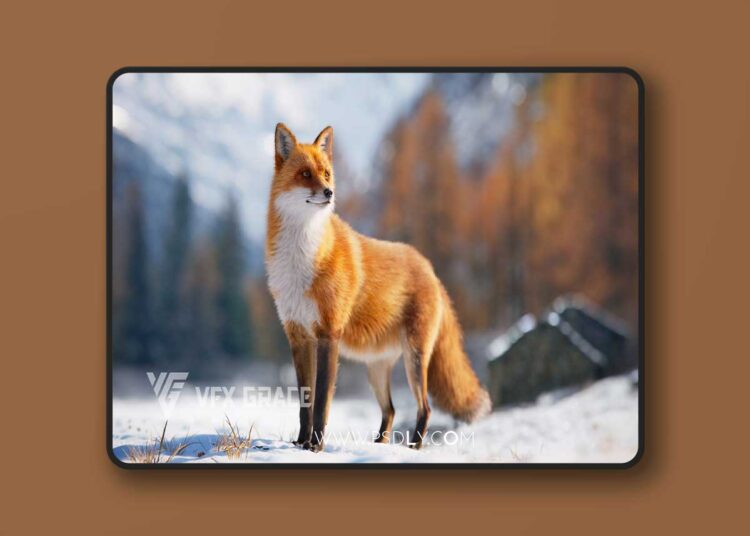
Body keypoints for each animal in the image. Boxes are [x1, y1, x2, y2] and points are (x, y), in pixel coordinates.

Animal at [266, 123, 491, 452]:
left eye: (327, 174)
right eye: (305, 174)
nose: (330, 193)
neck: (302, 259)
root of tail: (429, 268)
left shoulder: (328, 334)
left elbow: (321, 403)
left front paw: (315, 447)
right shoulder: (298, 337)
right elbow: (305, 403)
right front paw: (300, 444)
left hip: (414, 359)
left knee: (425, 407)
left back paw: (413, 448)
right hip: (377, 370)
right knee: (392, 410)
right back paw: (380, 444)